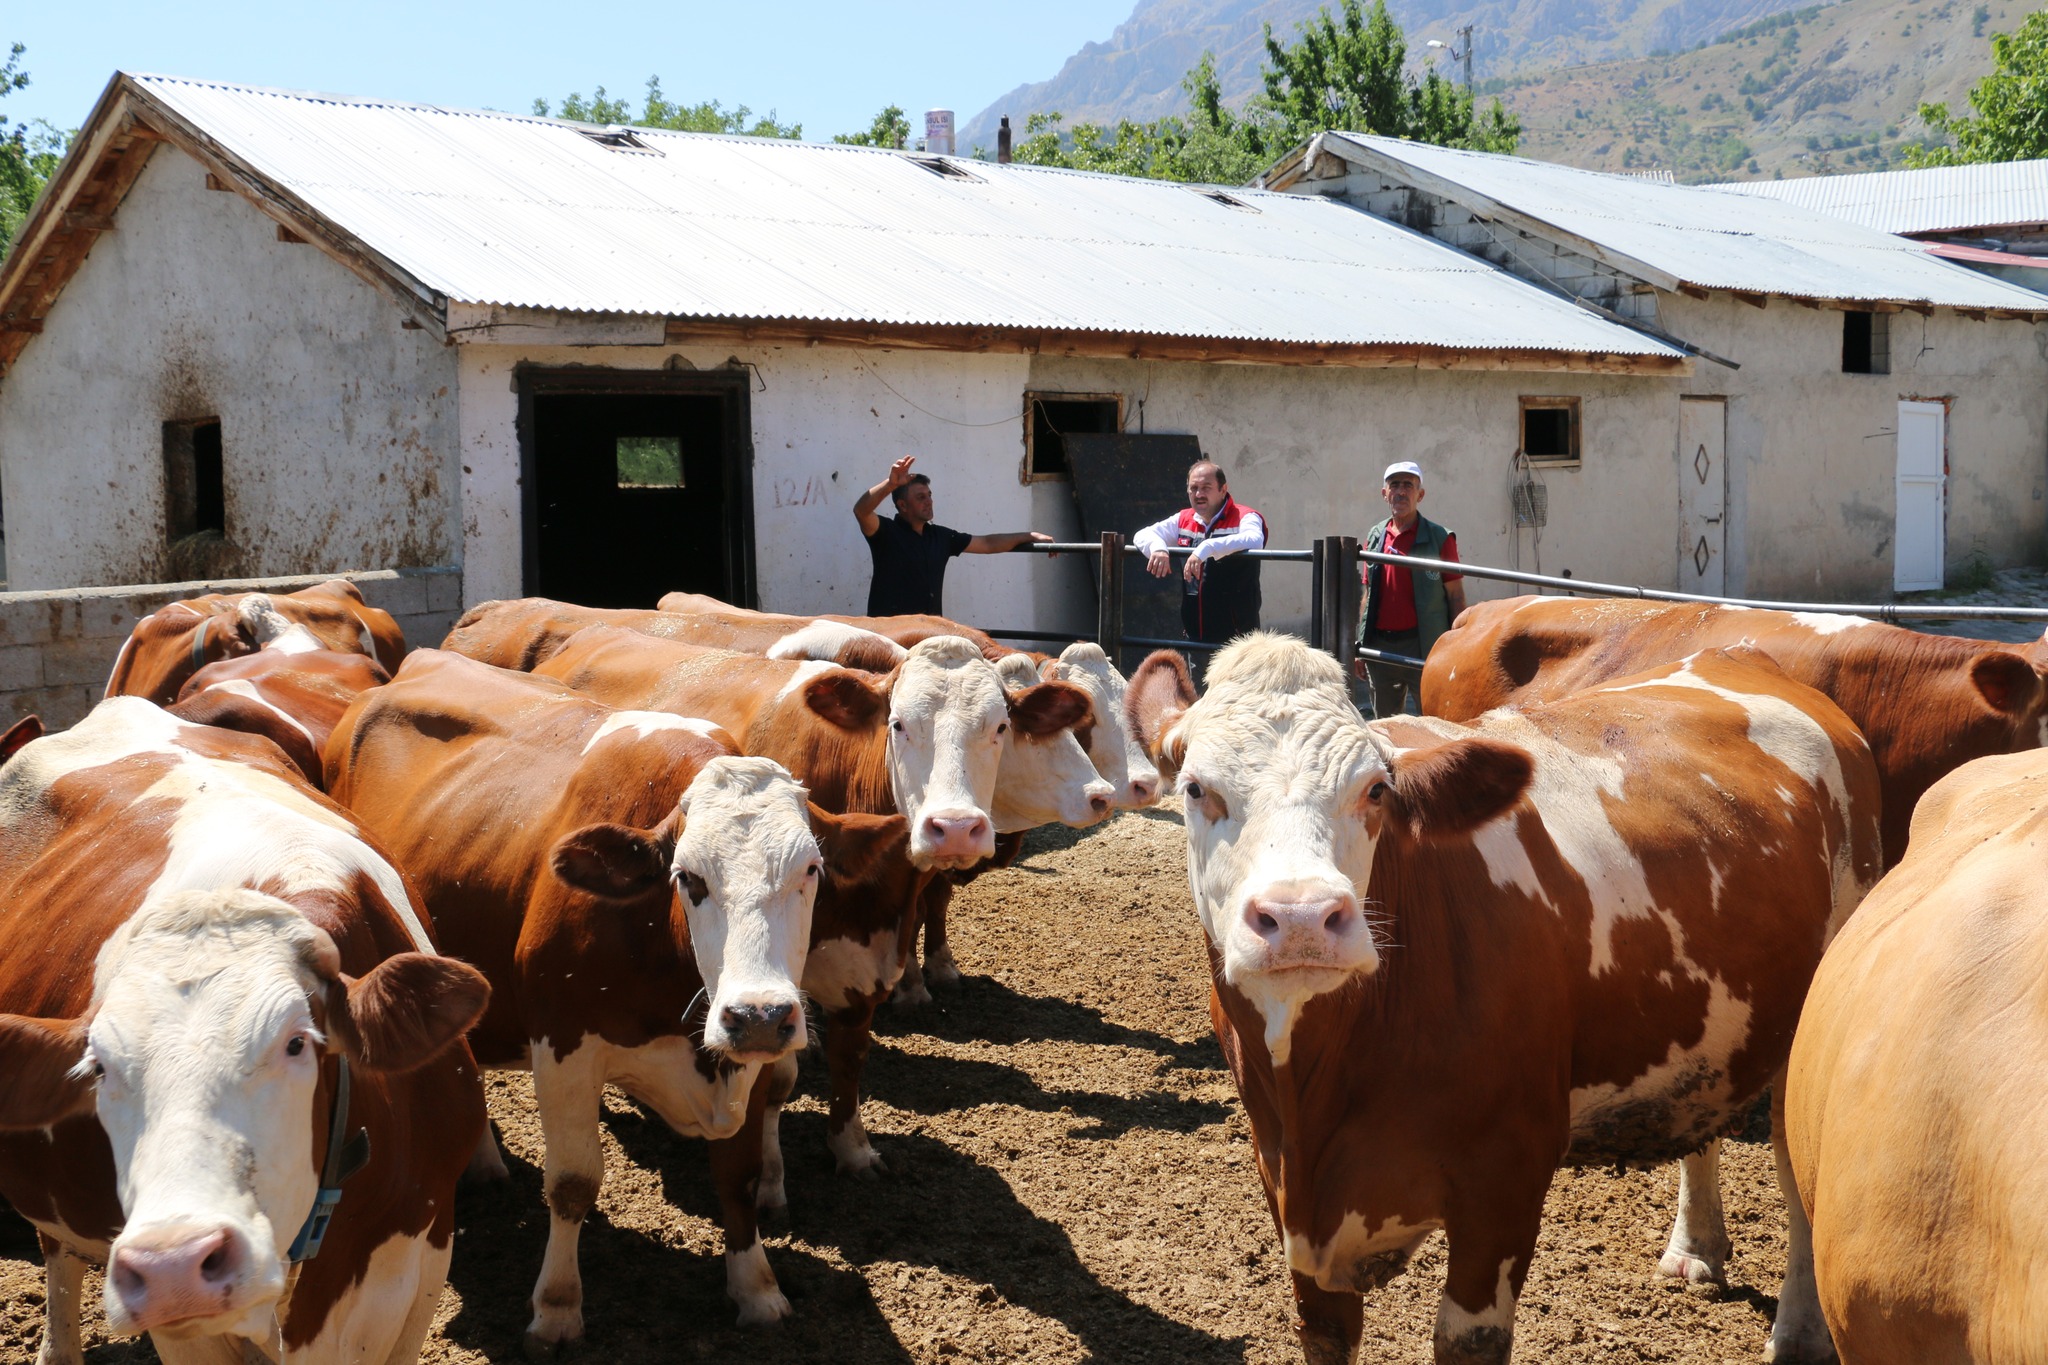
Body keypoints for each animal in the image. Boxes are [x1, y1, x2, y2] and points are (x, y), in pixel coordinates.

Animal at [1130, 634, 1875, 1365]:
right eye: (1196, 788)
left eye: (1376, 790)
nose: (1302, 917)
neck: (1316, 1089)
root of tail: (1740, 654)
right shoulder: (1283, 1180)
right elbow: (1326, 1333)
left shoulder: (1507, 1178)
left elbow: (1470, 1339)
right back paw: (1696, 1249)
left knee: (1795, 1166)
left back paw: (1800, 1331)